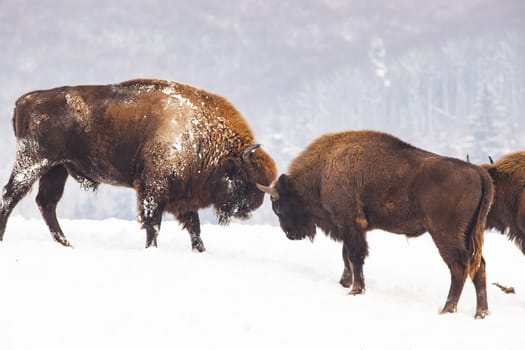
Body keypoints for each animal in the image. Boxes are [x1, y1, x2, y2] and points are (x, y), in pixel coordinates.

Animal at [0, 78, 276, 252]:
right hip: (34, 161)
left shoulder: (183, 197)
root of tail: (25, 100)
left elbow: (194, 228)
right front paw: (151, 249)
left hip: (57, 168)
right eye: (246, 178)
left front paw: (201, 251)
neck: (200, 134)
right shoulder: (153, 188)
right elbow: (153, 224)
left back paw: (67, 244)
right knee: (11, 196)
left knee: (47, 202)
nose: (250, 209)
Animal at [258, 129, 496, 318]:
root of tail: (478, 172)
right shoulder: (353, 228)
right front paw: (346, 283)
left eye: (278, 206)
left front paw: (355, 290)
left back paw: (447, 309)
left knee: (459, 266)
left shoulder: (349, 223)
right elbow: (348, 256)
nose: (290, 234)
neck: (323, 169)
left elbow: (354, 256)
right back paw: (480, 313)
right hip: (469, 234)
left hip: (444, 234)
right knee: (479, 266)